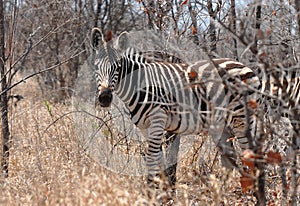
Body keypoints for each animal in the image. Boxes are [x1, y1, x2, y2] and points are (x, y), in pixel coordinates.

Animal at [91, 28, 260, 187]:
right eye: (96, 66)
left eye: (117, 67)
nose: (105, 98)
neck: (139, 85)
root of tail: (245, 66)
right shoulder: (145, 128)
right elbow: (158, 161)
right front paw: (164, 191)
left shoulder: (158, 120)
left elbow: (152, 159)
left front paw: (153, 192)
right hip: (222, 126)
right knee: (229, 163)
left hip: (242, 120)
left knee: (252, 156)